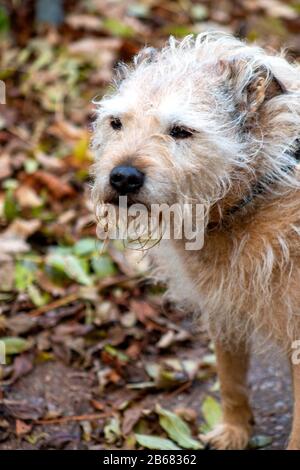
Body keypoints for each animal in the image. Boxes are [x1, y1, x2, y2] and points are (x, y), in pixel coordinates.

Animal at [91, 31, 300, 450]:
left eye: (181, 131)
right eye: (116, 123)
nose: (122, 177)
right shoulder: (223, 308)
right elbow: (230, 379)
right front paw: (234, 431)